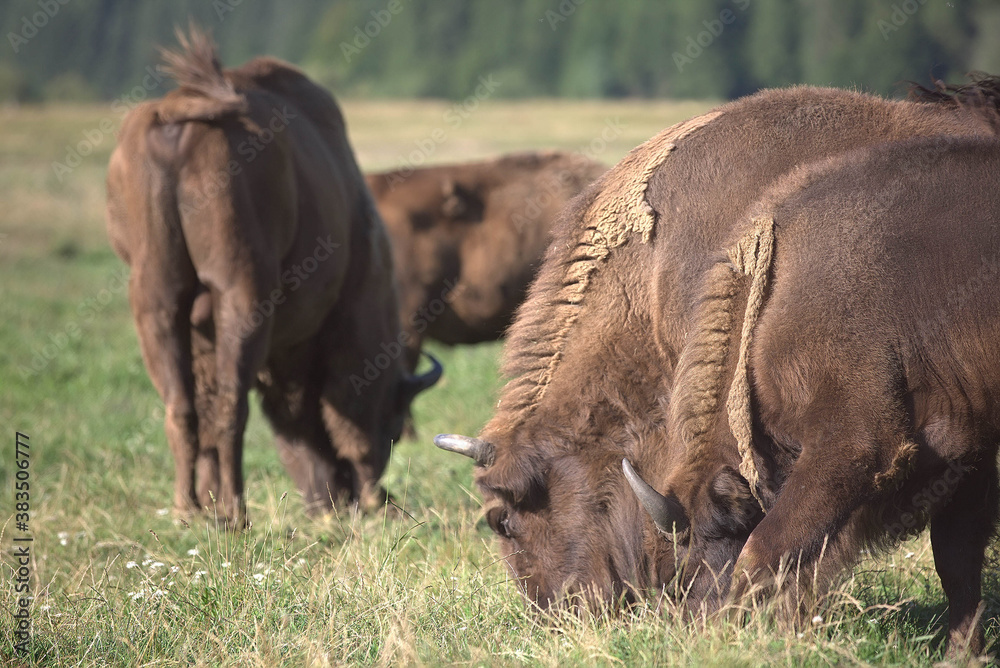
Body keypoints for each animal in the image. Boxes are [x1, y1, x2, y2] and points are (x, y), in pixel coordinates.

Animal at [106, 28, 440, 528]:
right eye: (394, 419)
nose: (333, 497)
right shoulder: (351, 324)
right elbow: (344, 414)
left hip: (156, 298)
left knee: (183, 406)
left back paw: (190, 509)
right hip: (240, 295)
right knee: (231, 405)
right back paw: (236, 511)